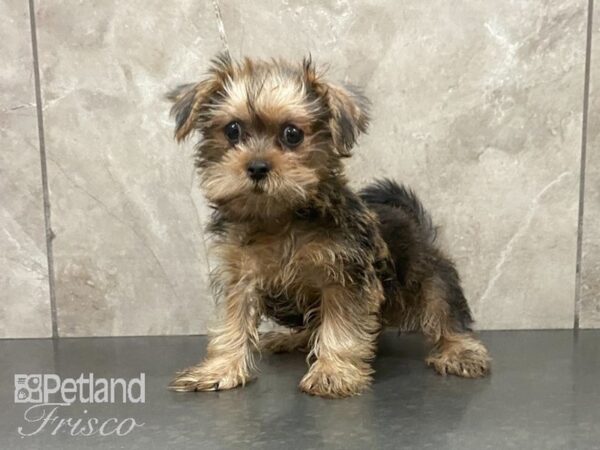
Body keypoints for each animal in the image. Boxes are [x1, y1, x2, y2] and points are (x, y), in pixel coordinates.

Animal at [166, 54, 490, 400]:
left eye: (292, 134)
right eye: (232, 130)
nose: (256, 167)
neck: (279, 216)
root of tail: (410, 217)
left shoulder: (343, 276)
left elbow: (340, 325)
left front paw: (332, 372)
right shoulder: (240, 278)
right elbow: (232, 323)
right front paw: (219, 369)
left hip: (428, 274)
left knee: (444, 312)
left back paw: (459, 351)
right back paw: (291, 338)